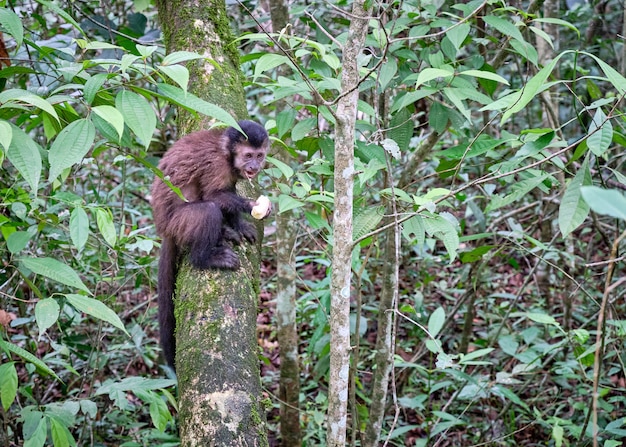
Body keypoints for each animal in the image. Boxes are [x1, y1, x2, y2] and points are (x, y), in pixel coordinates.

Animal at [152, 121, 270, 370]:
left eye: (259, 155)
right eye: (248, 155)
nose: (254, 166)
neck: (226, 152)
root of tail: (164, 229)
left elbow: (228, 193)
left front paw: (238, 225)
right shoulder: (217, 165)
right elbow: (216, 195)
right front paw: (252, 206)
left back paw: (225, 232)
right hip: (178, 223)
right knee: (208, 209)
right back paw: (206, 257)